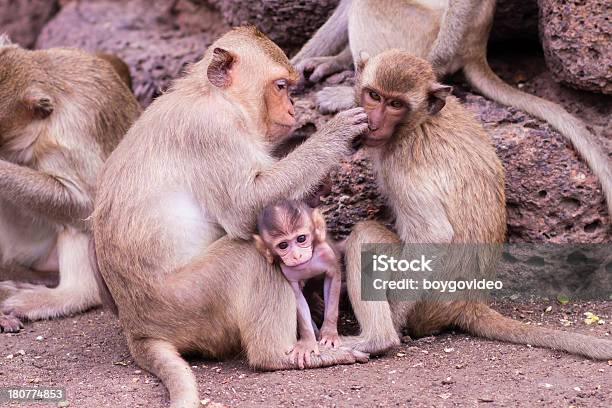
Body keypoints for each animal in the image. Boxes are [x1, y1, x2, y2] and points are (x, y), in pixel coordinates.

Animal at [251, 199, 342, 368]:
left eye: (301, 239)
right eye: (283, 245)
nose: (296, 256)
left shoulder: (327, 254)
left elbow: (332, 280)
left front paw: (330, 333)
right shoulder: (287, 271)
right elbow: (297, 298)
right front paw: (307, 342)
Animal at [340, 50, 612, 360]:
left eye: (396, 104)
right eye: (374, 95)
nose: (373, 123)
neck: (419, 123)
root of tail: (470, 303)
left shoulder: (401, 164)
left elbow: (432, 236)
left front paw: (392, 328)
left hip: (427, 304)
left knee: (368, 237)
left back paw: (377, 338)